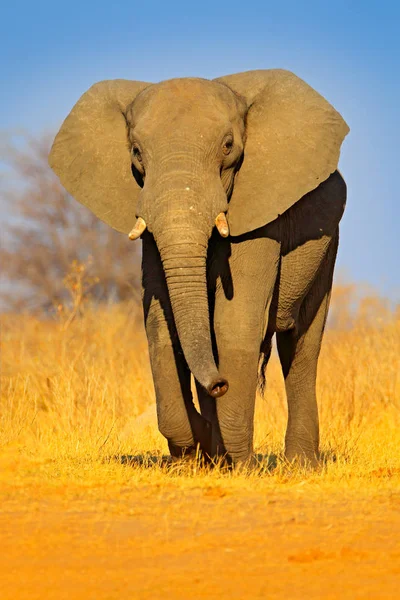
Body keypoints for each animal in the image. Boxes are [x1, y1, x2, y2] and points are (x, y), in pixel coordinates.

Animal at [49, 69, 350, 464]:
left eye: (228, 146)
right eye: (136, 152)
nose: (220, 384)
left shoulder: (260, 215)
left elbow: (234, 324)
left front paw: (243, 467)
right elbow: (161, 324)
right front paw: (199, 450)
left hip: (328, 242)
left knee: (300, 344)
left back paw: (299, 466)